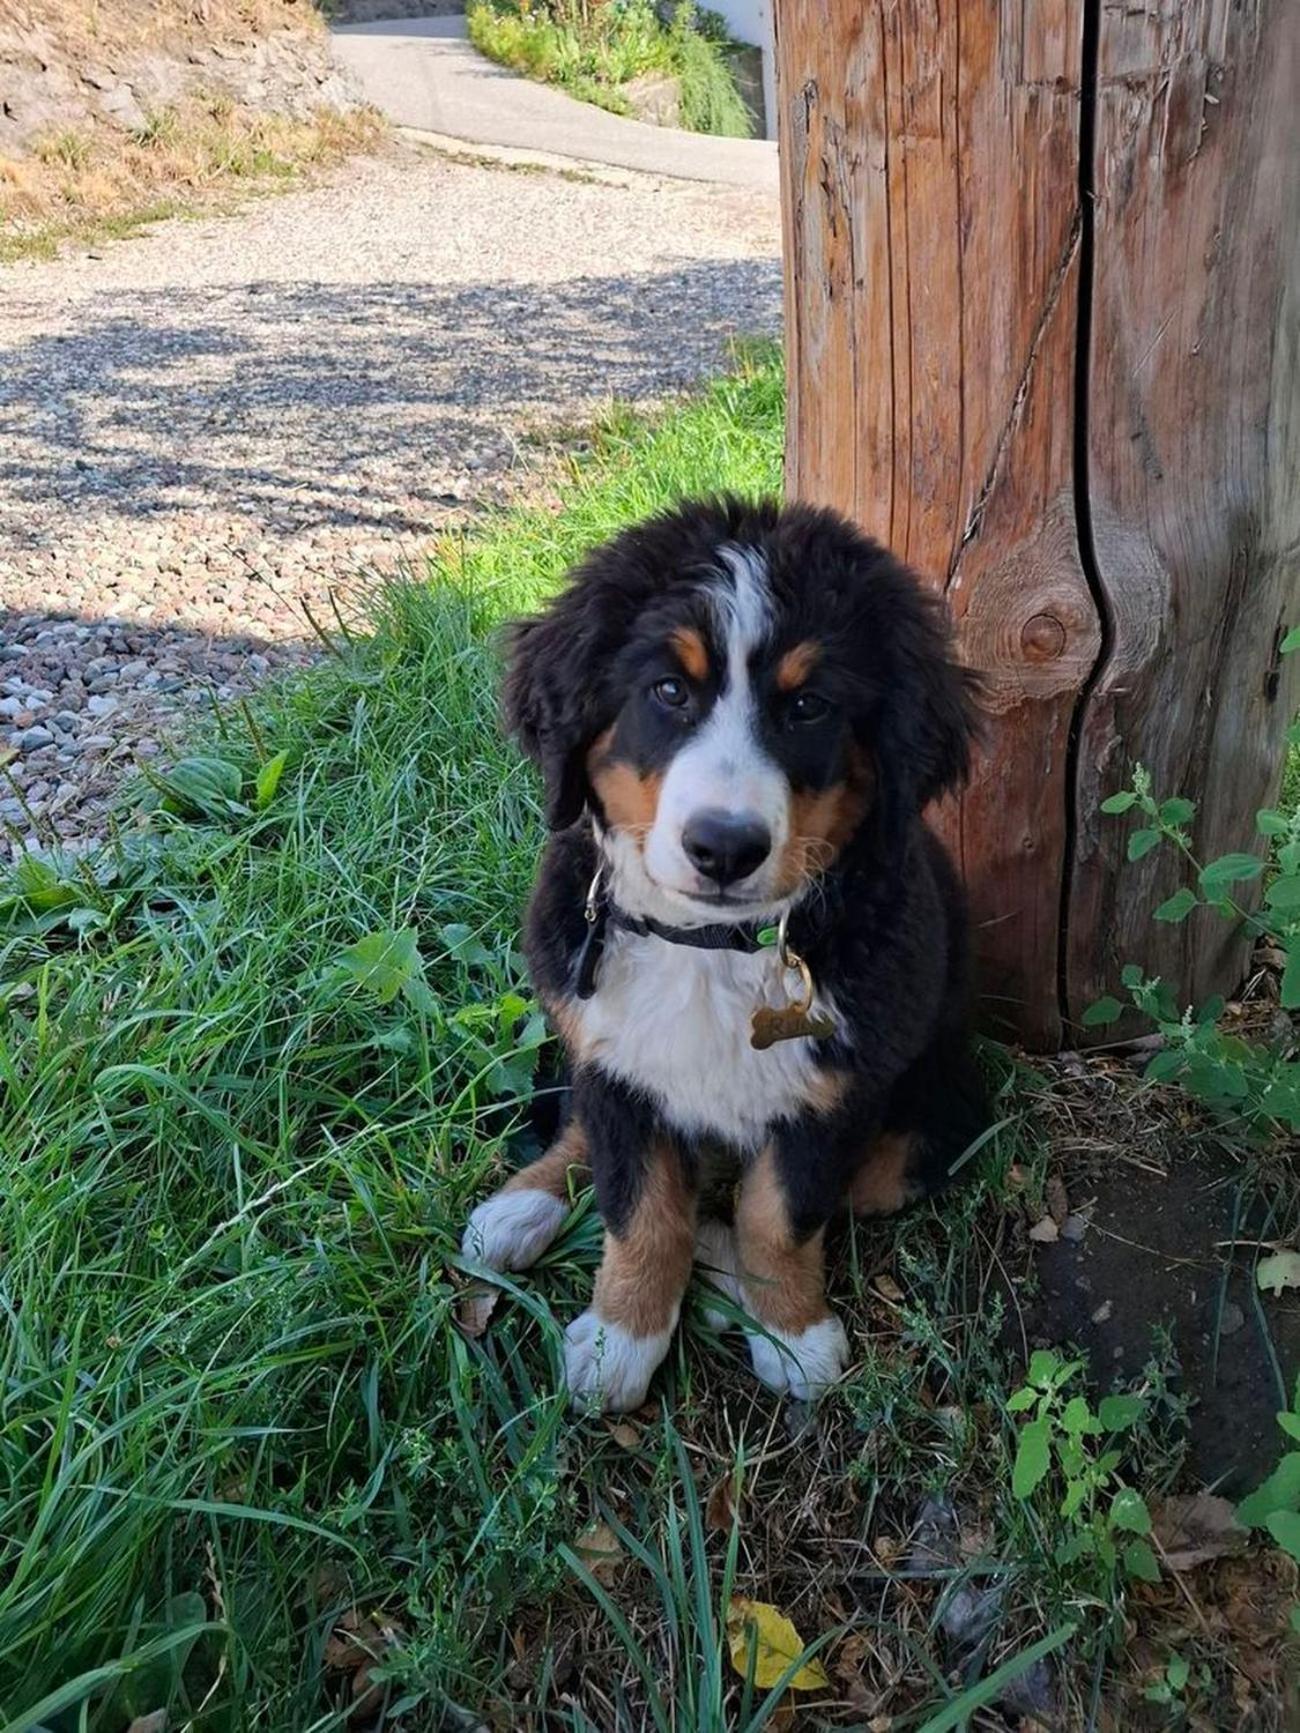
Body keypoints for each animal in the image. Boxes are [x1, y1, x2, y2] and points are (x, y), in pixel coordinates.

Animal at [464, 492, 984, 1407]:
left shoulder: (835, 1089)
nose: (724, 847)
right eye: (669, 690)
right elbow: (638, 1205)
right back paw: (520, 1209)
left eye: (808, 707)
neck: (710, 946)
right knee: (583, 1132)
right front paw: (623, 1337)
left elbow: (777, 1213)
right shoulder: (615, 1060)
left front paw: (789, 1333)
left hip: (937, 1115)